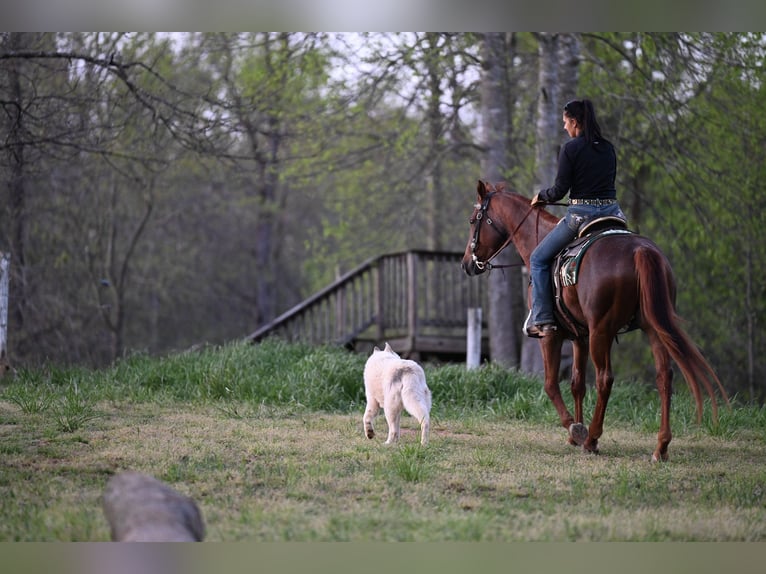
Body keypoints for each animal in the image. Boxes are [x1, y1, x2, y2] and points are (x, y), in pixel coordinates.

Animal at [461, 180, 729, 462]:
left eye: (473, 220)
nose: (467, 264)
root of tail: (640, 251)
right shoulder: (580, 336)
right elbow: (577, 383)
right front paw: (574, 434)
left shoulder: (551, 335)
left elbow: (551, 384)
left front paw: (575, 428)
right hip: (652, 329)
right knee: (664, 376)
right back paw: (661, 447)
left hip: (603, 331)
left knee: (605, 379)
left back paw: (591, 439)